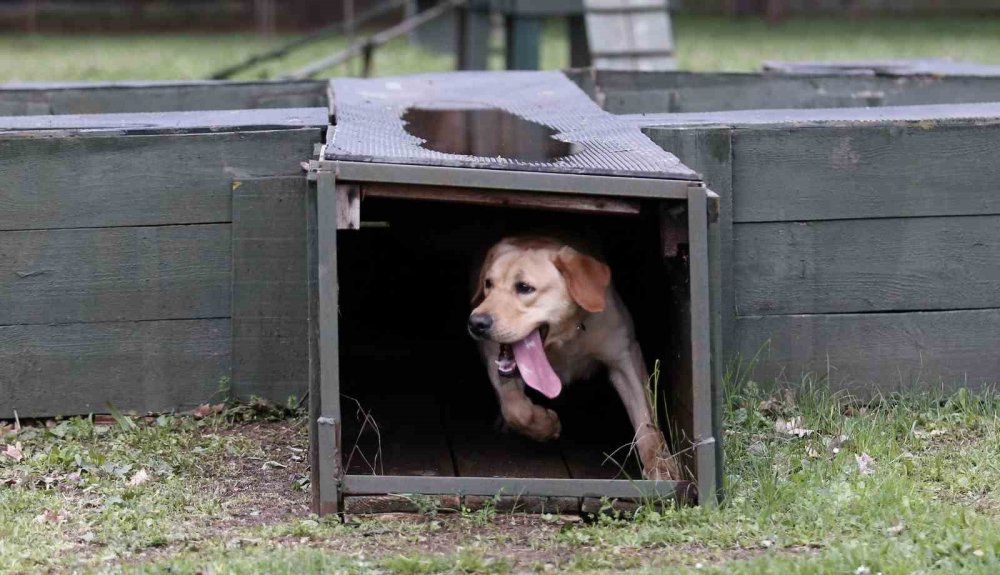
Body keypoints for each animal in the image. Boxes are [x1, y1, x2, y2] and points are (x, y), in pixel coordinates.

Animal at [468, 236, 680, 480]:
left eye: (524, 287)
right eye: (488, 283)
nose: (476, 323)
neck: (563, 339)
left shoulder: (625, 356)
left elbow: (645, 417)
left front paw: (659, 464)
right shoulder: (492, 354)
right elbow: (516, 408)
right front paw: (546, 425)